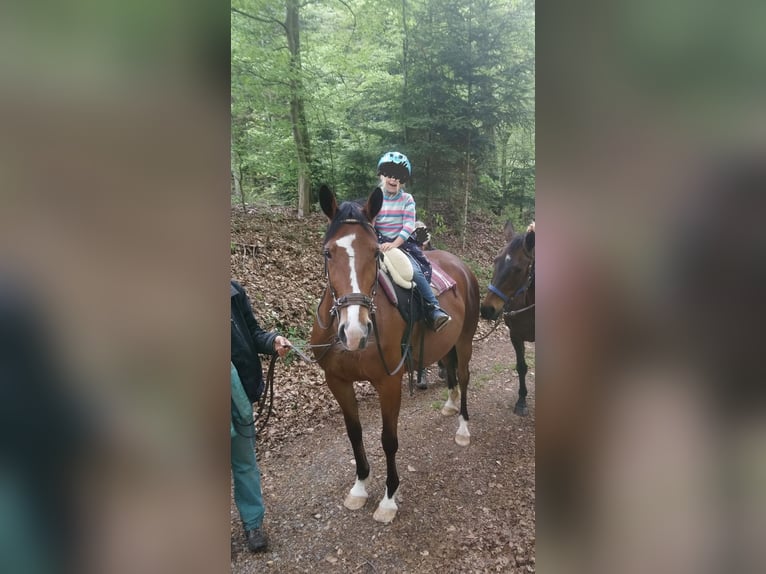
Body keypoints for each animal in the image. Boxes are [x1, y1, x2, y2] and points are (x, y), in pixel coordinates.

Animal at [310, 185, 480, 523]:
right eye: (328, 252)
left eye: (376, 252)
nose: (354, 331)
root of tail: (460, 264)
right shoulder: (337, 381)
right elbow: (354, 433)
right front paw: (360, 486)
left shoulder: (389, 382)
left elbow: (388, 440)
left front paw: (388, 498)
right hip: (447, 344)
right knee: (451, 371)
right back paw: (450, 405)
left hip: (465, 339)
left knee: (464, 376)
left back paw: (463, 428)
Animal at [480, 221, 535, 416]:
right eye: (495, 261)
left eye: (518, 269)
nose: (487, 309)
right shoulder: (515, 336)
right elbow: (521, 367)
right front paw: (521, 400)